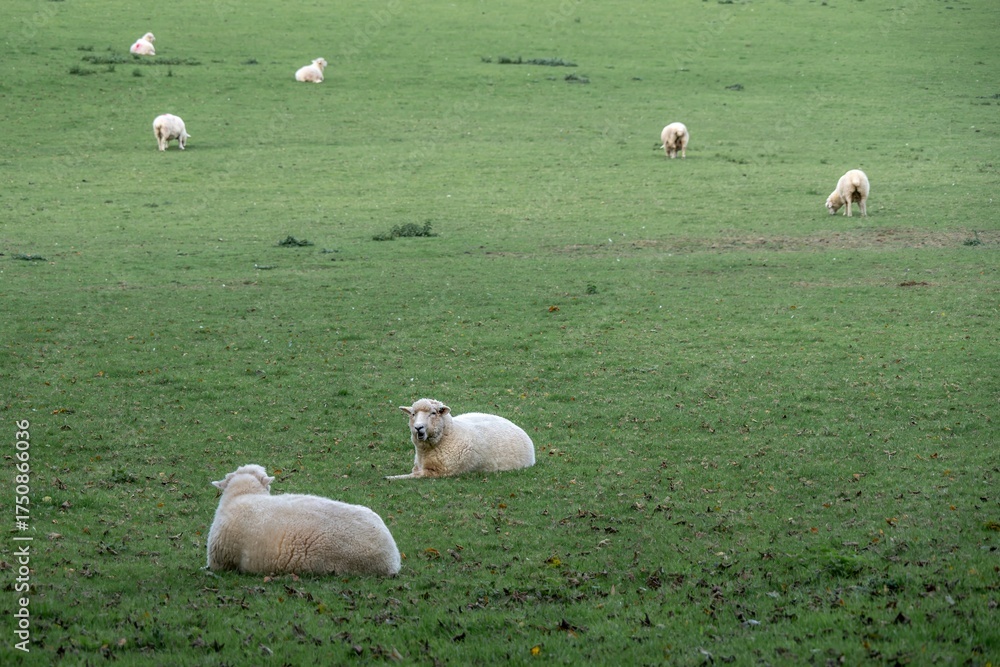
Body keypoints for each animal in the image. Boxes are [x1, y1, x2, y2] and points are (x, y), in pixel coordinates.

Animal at [387, 398, 535, 480]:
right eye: (413, 414)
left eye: (433, 413)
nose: (418, 427)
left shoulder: (438, 473)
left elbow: (412, 476)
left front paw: (390, 477)